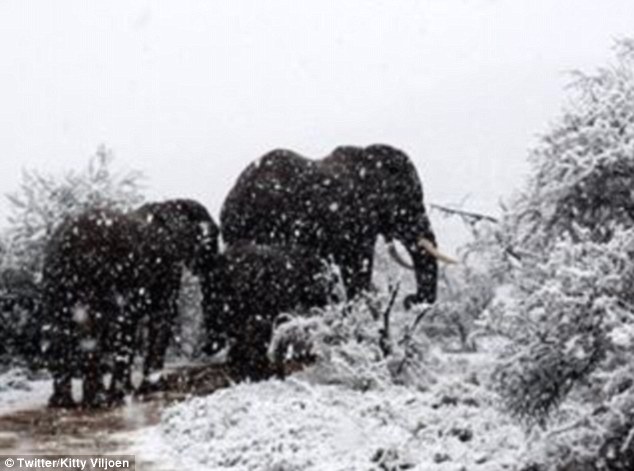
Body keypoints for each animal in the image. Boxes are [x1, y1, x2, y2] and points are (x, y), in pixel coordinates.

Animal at [42, 199, 217, 410]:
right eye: (212, 239)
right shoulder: (166, 267)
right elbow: (161, 317)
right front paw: (146, 389)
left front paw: (130, 391)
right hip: (96, 279)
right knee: (91, 329)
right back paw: (99, 401)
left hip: (55, 281)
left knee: (58, 328)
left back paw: (62, 403)